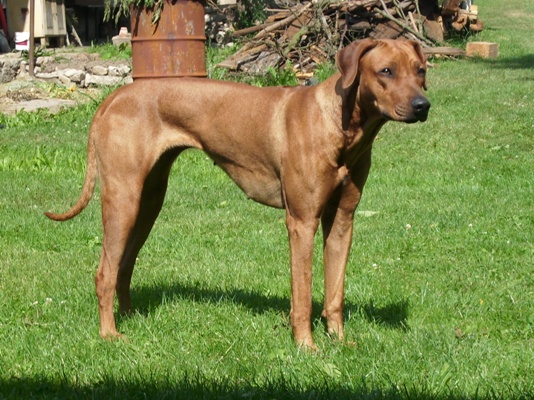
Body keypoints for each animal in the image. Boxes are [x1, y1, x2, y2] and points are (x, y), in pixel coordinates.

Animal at [45, 38, 430, 350]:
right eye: (386, 71)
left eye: (421, 70)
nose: (422, 105)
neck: (342, 124)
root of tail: (112, 98)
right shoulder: (302, 221)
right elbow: (303, 295)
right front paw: (306, 347)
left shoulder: (343, 220)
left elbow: (335, 292)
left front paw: (339, 341)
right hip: (123, 198)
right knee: (104, 272)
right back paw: (109, 334)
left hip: (148, 201)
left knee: (124, 264)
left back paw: (130, 318)